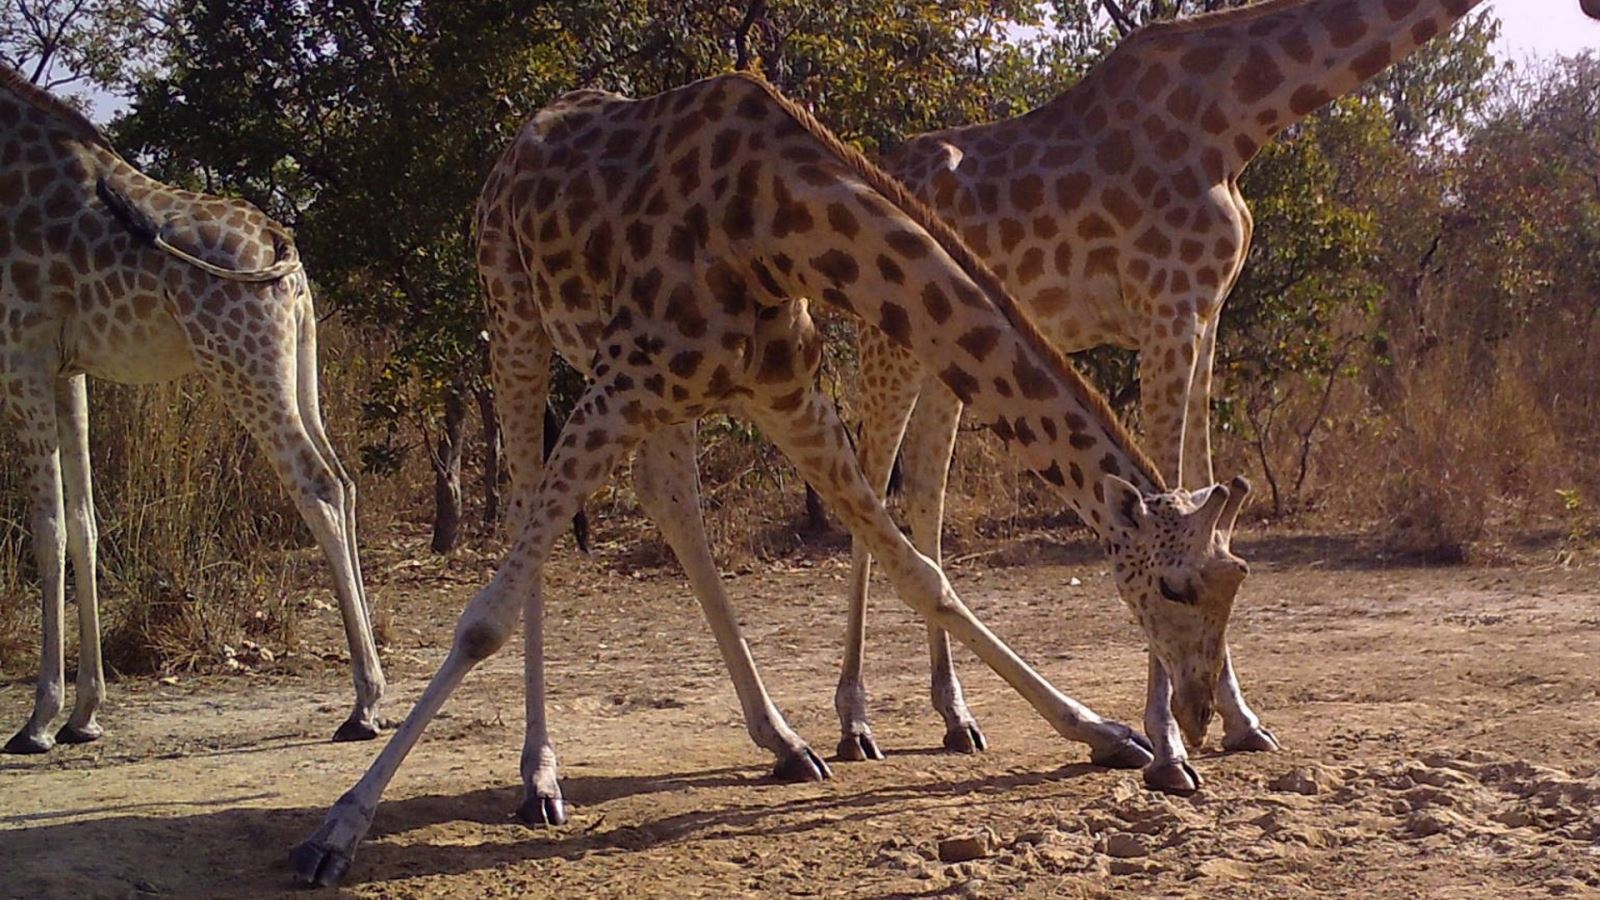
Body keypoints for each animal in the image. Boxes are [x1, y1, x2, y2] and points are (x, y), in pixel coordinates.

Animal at [0, 66, 387, 746]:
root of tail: (283, 247)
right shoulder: (67, 368)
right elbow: (84, 522)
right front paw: (84, 714)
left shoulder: (21, 353)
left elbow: (47, 530)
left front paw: (40, 719)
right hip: (296, 367)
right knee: (343, 480)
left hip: (242, 363)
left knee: (317, 485)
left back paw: (363, 704)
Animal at [294, 75, 1254, 883]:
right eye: (1175, 588)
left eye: (1232, 588)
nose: (1199, 715)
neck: (779, 230)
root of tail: (519, 144)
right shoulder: (622, 381)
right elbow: (482, 620)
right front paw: (341, 826)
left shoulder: (784, 392)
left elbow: (922, 573)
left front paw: (1102, 734)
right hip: (516, 317)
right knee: (530, 505)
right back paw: (539, 779)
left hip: (660, 395)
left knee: (672, 502)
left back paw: (784, 742)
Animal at [825, 0, 1600, 759]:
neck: (1238, 117)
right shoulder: (1167, 308)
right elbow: (1165, 488)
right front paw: (1168, 738)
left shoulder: (1207, 312)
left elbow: (1201, 484)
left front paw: (1237, 718)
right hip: (883, 341)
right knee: (869, 485)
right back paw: (854, 724)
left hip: (939, 353)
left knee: (925, 496)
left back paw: (955, 717)